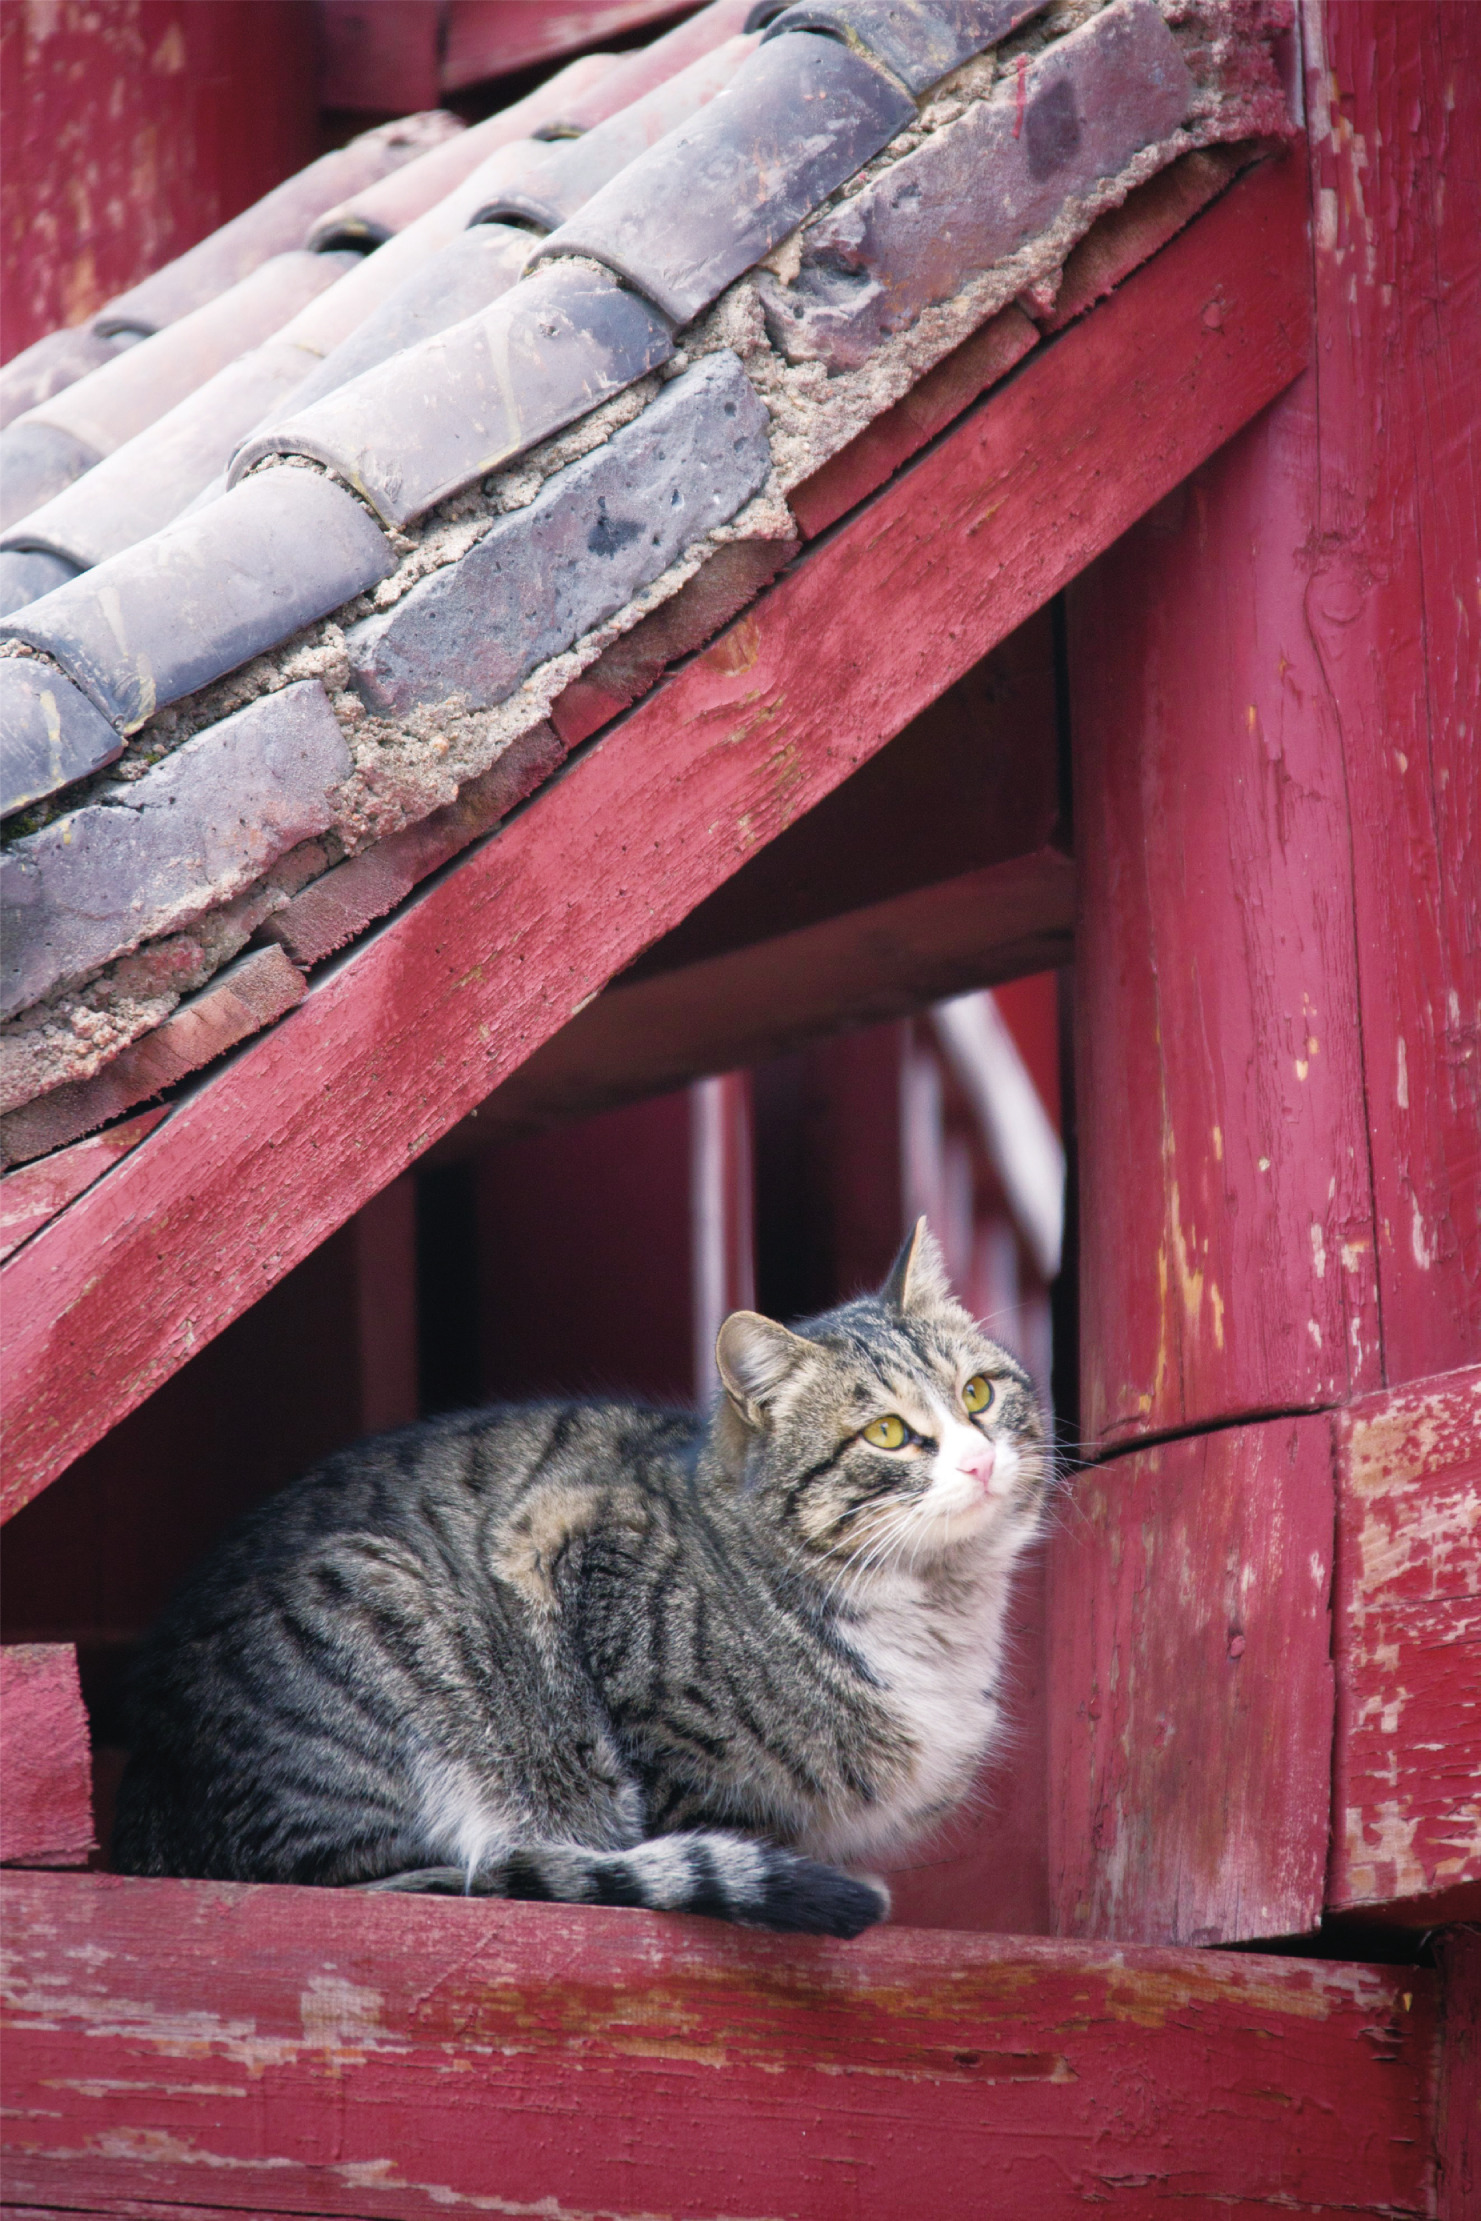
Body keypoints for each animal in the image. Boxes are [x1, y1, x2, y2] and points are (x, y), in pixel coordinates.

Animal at [116, 1225, 1052, 1936]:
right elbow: (709, 1815)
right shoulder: (578, 1565)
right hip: (379, 1615)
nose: (977, 1462)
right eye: (888, 1433)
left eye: (977, 1392)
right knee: (412, 1878)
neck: (934, 1606)